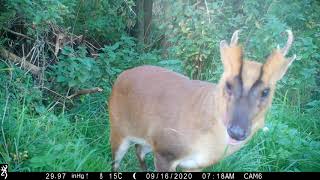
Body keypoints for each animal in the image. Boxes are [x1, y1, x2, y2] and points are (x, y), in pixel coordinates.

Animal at [107, 29, 296, 172]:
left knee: (139, 149)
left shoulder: (196, 165)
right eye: (228, 84)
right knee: (115, 161)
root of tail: (120, 77)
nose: (237, 131)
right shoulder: (166, 151)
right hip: (118, 128)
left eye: (266, 91)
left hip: (148, 139)